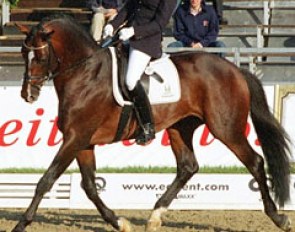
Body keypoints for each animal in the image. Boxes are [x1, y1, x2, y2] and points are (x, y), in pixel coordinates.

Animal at [13, 16, 292, 232]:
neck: (86, 74)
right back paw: (155, 216)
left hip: (226, 128)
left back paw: (279, 218)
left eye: (39, 57)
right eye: (23, 54)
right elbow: (90, 186)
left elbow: (46, 180)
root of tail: (234, 70)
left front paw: (21, 224)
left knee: (255, 162)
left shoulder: (75, 138)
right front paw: (119, 222)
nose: (27, 95)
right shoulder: (82, 141)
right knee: (187, 167)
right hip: (180, 127)